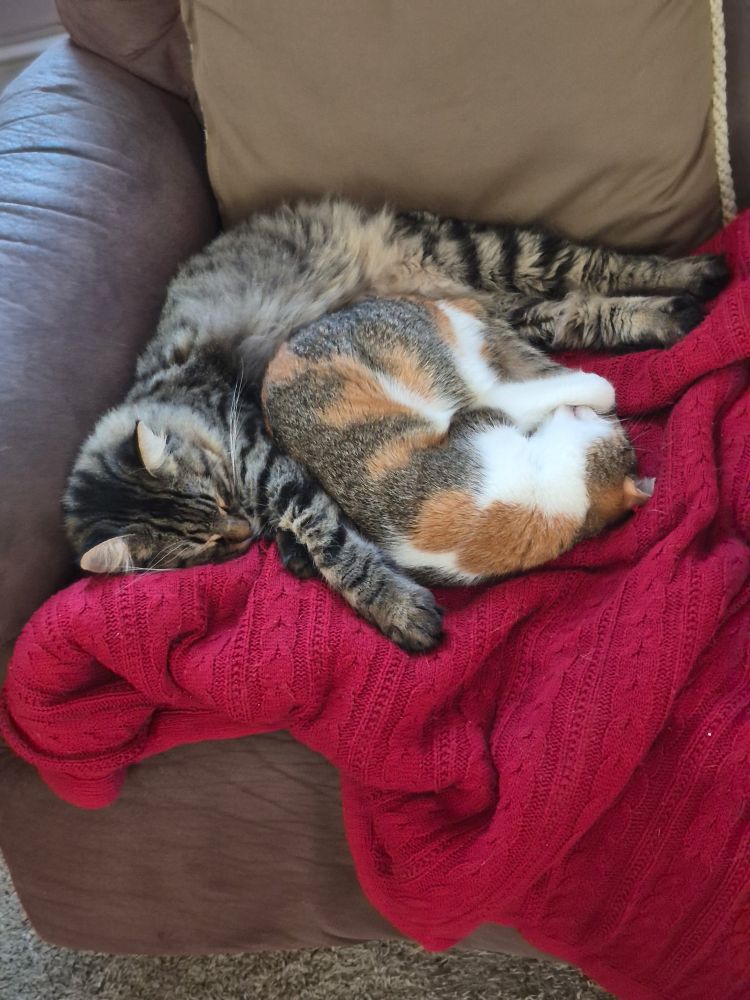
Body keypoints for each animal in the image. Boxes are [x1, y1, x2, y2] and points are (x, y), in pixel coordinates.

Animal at [63, 198, 729, 646]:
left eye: (219, 494)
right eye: (204, 548)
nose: (238, 532)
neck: (169, 392)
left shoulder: (264, 447)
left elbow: (328, 537)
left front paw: (395, 608)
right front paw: (290, 552)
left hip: (485, 253)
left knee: (594, 265)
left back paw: (699, 276)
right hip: (510, 307)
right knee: (573, 313)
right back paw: (669, 315)